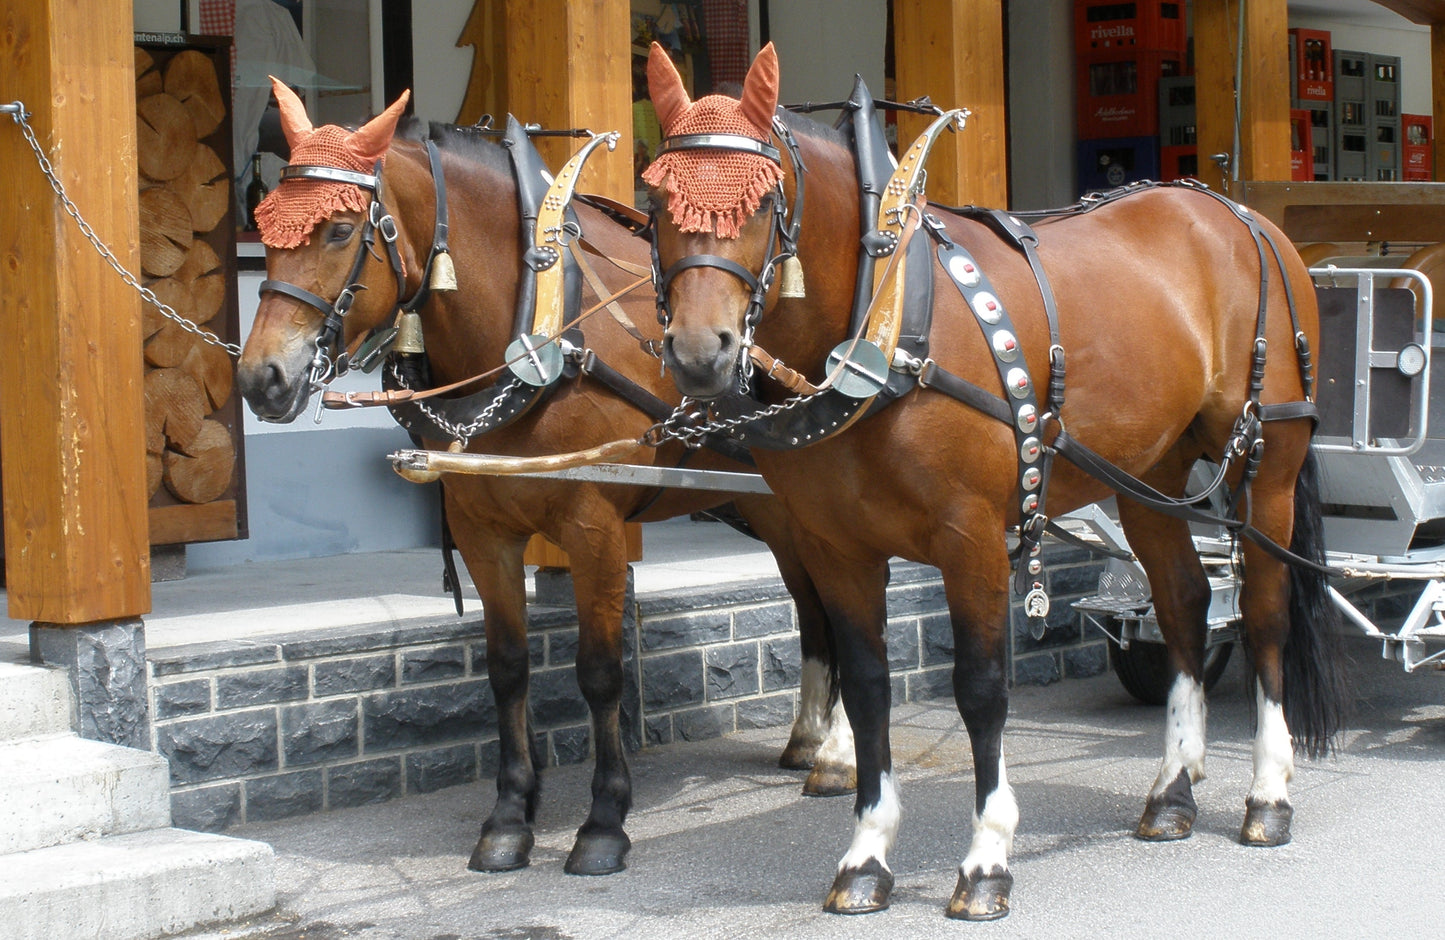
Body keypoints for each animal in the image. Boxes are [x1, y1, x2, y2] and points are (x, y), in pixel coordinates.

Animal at [231, 79, 849, 877]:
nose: (261, 379)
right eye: (261, 224)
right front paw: (507, 817)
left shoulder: (592, 526)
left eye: (338, 232)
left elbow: (599, 671)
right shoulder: (480, 531)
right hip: (777, 511)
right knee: (814, 606)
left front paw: (603, 822)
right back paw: (810, 740)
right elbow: (507, 668)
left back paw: (836, 756)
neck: (534, 332)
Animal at [638, 44, 1346, 918]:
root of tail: (1238, 213)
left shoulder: (968, 536)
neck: (884, 324)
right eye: (653, 197)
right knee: (1184, 604)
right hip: (1149, 473)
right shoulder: (836, 547)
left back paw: (1267, 796)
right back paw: (1172, 790)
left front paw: (984, 859)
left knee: (1265, 614)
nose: (699, 352)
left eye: (763, 200)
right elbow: (866, 688)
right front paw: (866, 854)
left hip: (1266, 464)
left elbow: (978, 689)